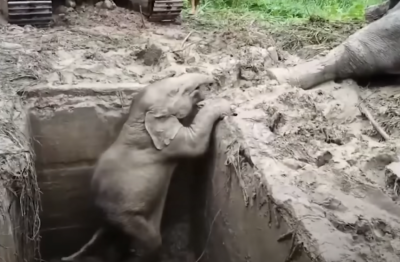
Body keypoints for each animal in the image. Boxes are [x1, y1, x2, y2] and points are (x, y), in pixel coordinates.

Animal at [61, 72, 233, 262]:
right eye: (175, 90)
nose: (212, 80)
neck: (136, 118)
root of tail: (103, 217)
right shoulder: (165, 145)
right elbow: (195, 144)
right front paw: (225, 105)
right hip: (126, 216)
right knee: (151, 241)